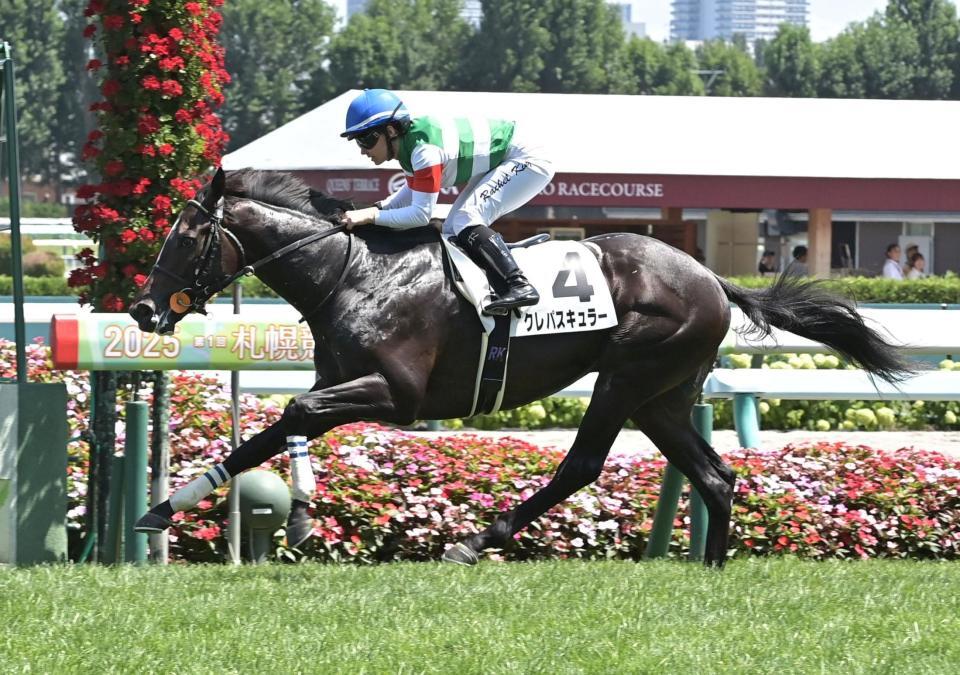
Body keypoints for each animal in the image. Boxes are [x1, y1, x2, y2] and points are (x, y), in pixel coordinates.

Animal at [129, 167, 910, 567]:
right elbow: (271, 428)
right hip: (662, 395)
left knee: (583, 464)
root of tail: (712, 277)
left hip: (628, 374)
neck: (352, 271)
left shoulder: (396, 394)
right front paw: (163, 508)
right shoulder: (342, 384)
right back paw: (712, 567)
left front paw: (295, 520)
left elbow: (290, 413)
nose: (142, 309)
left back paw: (476, 540)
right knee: (715, 474)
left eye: (188, 236)